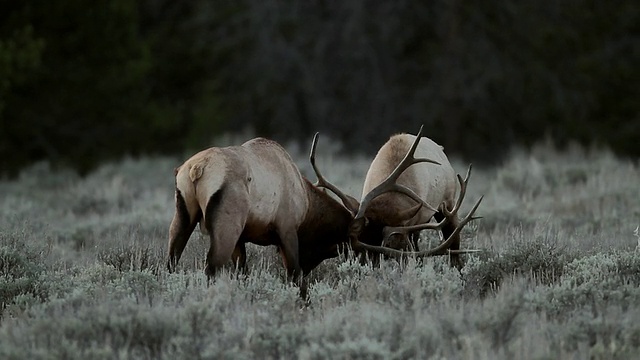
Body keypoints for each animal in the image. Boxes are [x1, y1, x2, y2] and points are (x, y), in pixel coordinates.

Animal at [312, 125, 484, 268]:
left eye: (379, 247)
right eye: (356, 246)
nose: (364, 266)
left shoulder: (410, 223)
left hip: (448, 204)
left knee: (452, 241)